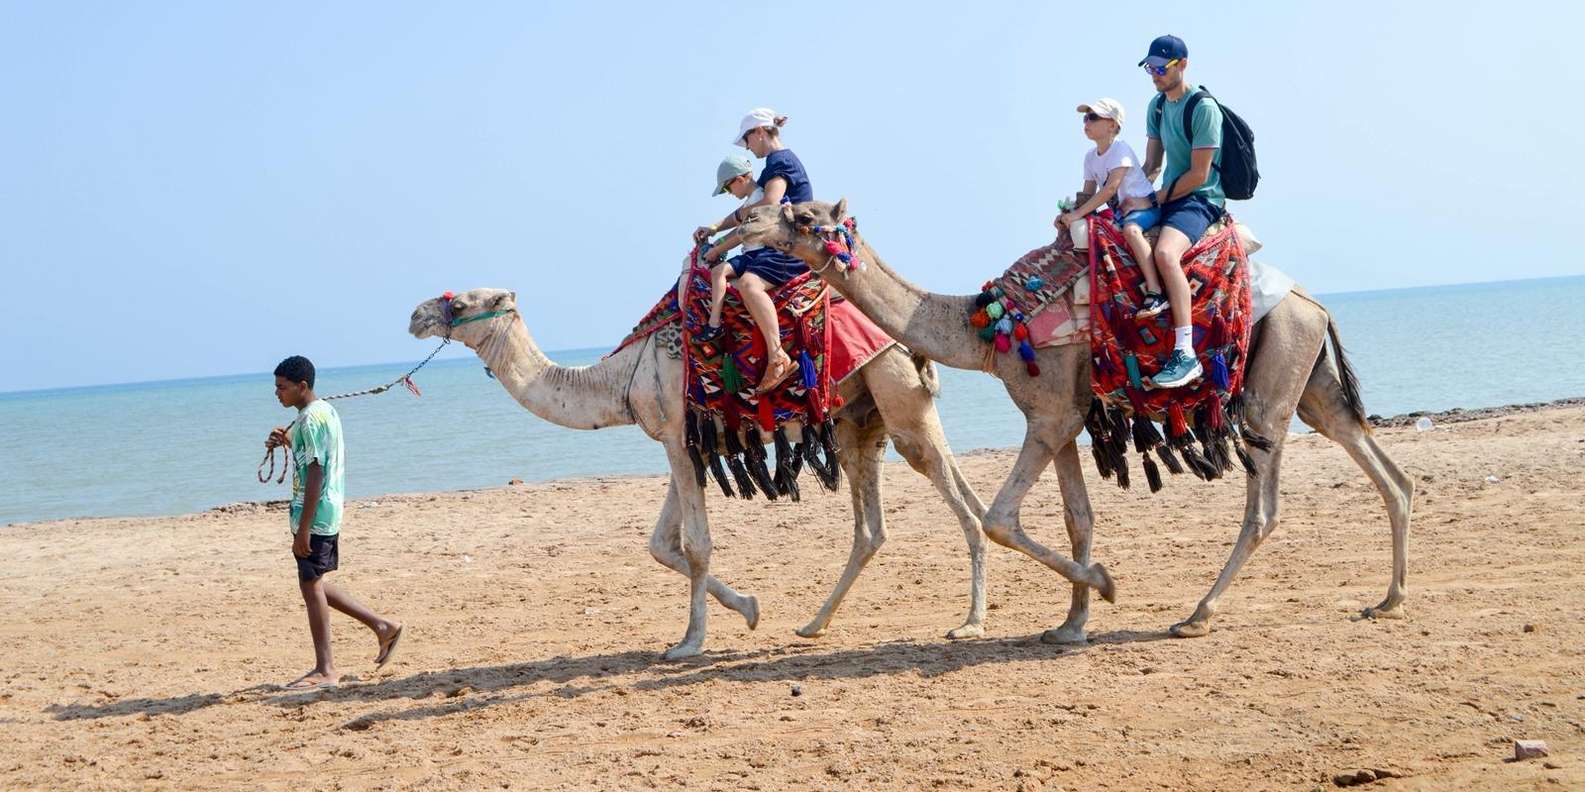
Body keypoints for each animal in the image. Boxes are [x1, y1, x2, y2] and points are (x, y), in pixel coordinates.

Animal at [409, 288, 1000, 659]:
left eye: (459, 300)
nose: (415, 316)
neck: (620, 375)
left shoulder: (675, 433)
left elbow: (695, 544)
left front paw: (689, 642)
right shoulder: (682, 443)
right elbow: (661, 545)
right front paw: (751, 609)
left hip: (896, 396)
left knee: (953, 496)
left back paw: (971, 621)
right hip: (862, 418)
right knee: (883, 520)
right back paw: (813, 624)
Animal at [739, 200, 1413, 642]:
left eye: (801, 217)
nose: (740, 224)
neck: (988, 328)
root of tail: (1316, 304)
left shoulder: (1052, 412)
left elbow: (1001, 519)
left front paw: (1106, 586)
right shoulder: (1060, 417)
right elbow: (1077, 518)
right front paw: (1071, 623)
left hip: (1269, 391)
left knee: (1265, 506)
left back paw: (1197, 614)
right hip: (1311, 381)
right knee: (1386, 469)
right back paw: (1389, 600)